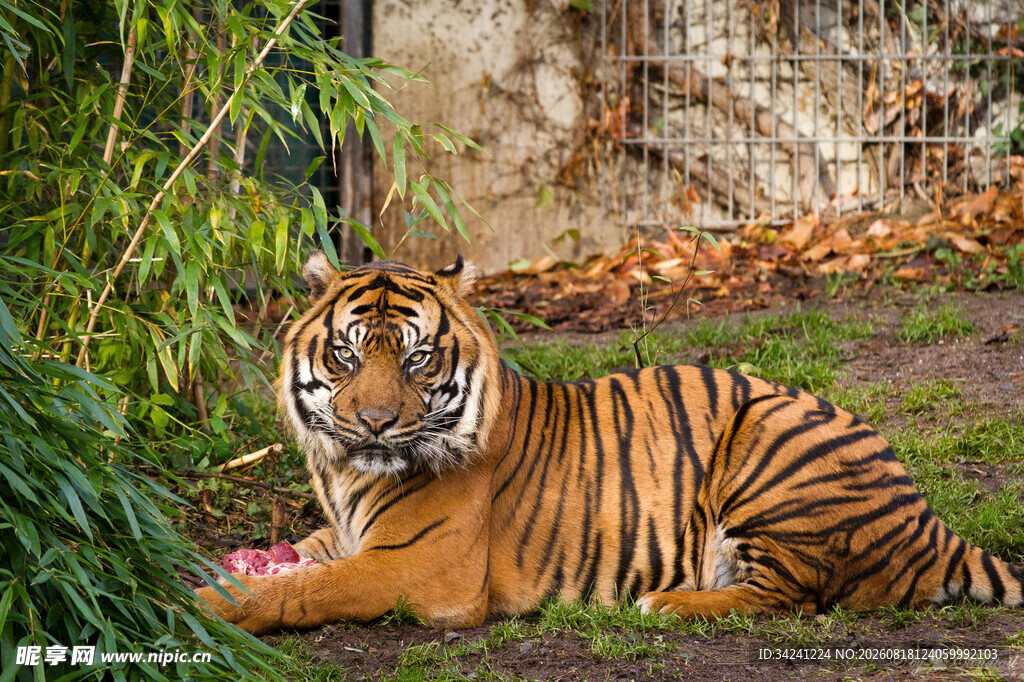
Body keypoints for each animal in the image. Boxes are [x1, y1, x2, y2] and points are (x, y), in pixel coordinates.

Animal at [196, 252, 1024, 635]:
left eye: (417, 358)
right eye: (345, 353)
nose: (371, 422)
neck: (348, 473)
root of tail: (931, 522)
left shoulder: (419, 567)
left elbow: (305, 591)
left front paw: (208, 606)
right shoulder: (342, 536)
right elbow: (281, 565)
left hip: (768, 444)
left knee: (789, 595)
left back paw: (666, 602)